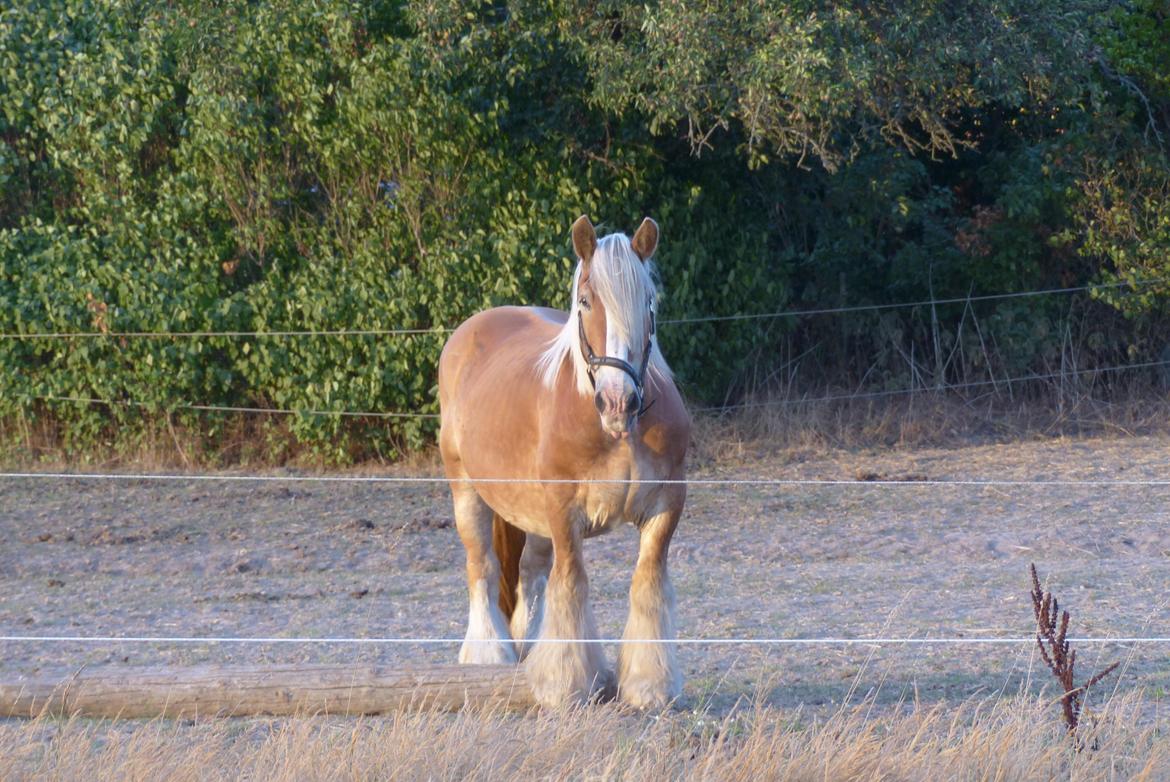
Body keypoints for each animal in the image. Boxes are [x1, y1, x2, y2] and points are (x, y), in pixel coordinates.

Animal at [439, 214, 692, 707]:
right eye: (586, 301)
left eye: (648, 302)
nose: (618, 401)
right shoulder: (564, 511)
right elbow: (572, 583)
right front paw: (569, 683)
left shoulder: (665, 507)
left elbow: (647, 585)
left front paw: (649, 685)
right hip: (466, 492)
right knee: (482, 565)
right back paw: (490, 651)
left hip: (532, 516)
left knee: (531, 576)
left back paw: (532, 647)